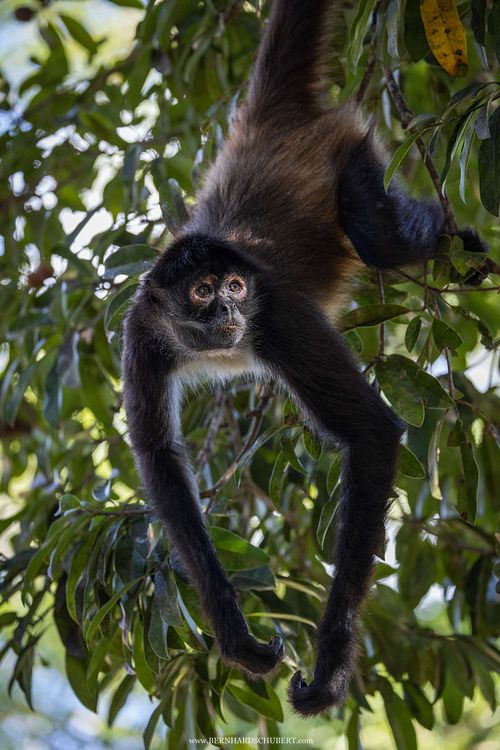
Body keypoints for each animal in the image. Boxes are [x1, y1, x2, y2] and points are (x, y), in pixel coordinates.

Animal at [121, 0, 488, 717]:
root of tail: (267, 120)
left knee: (378, 239)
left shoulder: (278, 317)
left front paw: (331, 667)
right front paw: (233, 633)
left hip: (353, 158)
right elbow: (158, 456)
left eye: (237, 287)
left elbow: (371, 432)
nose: (228, 309)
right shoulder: (142, 331)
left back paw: (468, 250)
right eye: (202, 292)